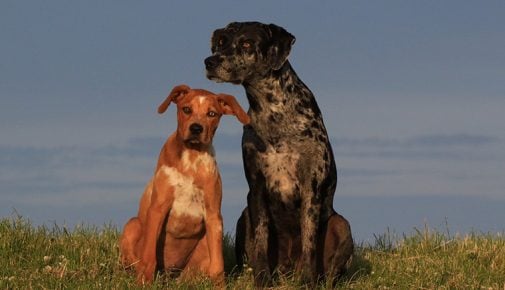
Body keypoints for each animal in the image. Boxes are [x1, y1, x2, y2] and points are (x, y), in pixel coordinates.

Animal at [120, 84, 250, 286]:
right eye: (186, 109)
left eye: (212, 113)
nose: (196, 128)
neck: (191, 159)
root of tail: (169, 275)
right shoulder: (158, 208)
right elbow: (148, 257)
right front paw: (143, 283)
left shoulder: (214, 216)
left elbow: (218, 266)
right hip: (133, 225)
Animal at [205, 21, 354, 284]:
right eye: (221, 41)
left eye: (246, 43)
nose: (209, 62)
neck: (272, 111)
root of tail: (287, 268)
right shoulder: (256, 188)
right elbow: (261, 240)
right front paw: (262, 280)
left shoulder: (311, 187)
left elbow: (309, 241)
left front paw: (307, 282)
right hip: (244, 216)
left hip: (341, 224)